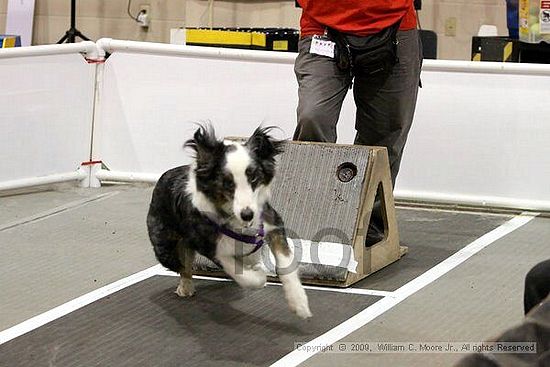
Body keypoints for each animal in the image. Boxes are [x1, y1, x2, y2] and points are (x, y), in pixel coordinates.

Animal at [147, 126, 312, 320]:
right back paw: (185, 287)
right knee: (182, 264)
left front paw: (299, 303)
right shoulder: (211, 245)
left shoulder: (272, 223)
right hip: (165, 245)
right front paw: (259, 276)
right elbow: (243, 274)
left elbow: (286, 262)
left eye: (253, 178)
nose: (248, 215)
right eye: (227, 183)